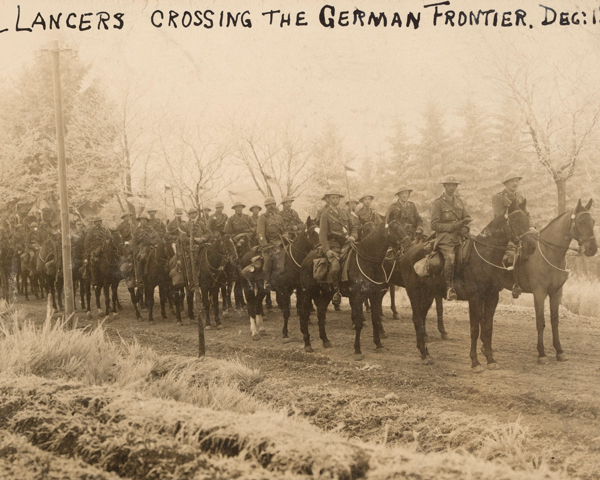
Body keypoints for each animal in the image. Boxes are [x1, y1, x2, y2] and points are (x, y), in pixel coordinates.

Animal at [300, 219, 412, 358]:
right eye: (395, 229)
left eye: (405, 228)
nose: (409, 245)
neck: (369, 262)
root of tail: (306, 259)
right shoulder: (358, 298)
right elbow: (359, 323)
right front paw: (357, 350)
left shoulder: (375, 296)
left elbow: (376, 320)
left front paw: (379, 345)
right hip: (308, 292)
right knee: (304, 314)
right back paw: (307, 344)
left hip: (326, 294)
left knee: (321, 314)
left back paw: (325, 340)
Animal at [398, 198, 536, 368]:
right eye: (516, 221)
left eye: (527, 219)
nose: (532, 246)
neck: (484, 257)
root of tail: (407, 253)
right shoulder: (474, 298)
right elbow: (474, 328)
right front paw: (475, 362)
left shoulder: (492, 298)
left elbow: (487, 327)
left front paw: (490, 359)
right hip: (415, 294)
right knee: (417, 319)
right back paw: (424, 355)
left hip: (428, 295)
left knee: (421, 319)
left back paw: (425, 352)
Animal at [504, 199, 596, 364]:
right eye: (580, 222)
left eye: (593, 221)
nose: (593, 248)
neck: (550, 254)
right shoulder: (539, 293)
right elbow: (540, 321)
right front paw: (541, 353)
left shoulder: (556, 293)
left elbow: (554, 321)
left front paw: (559, 351)